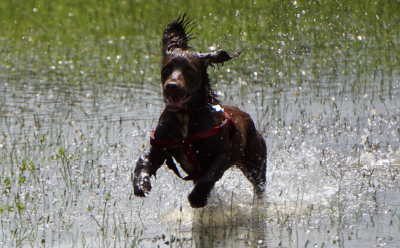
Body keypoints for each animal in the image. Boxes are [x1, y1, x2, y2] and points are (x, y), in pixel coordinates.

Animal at [133, 14, 268, 207]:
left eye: (190, 70)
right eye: (166, 69)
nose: (171, 86)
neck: (185, 118)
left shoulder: (221, 155)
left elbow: (208, 178)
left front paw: (197, 198)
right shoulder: (159, 148)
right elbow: (142, 163)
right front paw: (141, 184)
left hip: (255, 162)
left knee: (259, 186)